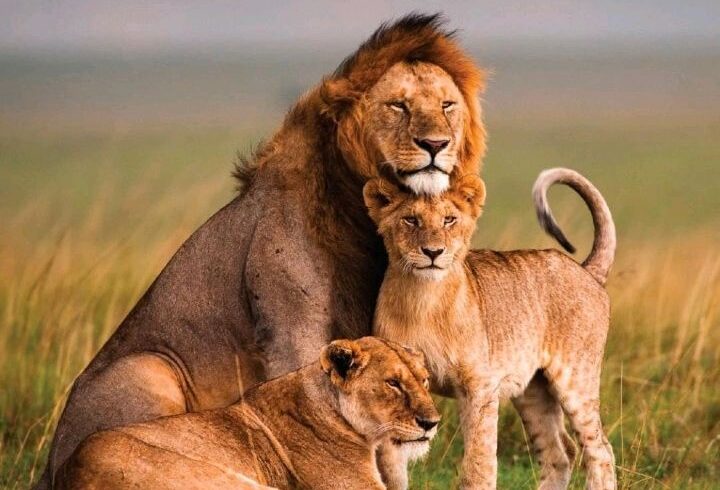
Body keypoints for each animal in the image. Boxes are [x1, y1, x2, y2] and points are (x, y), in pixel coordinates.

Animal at [364, 168, 617, 490]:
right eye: (410, 219)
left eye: (449, 219)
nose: (433, 252)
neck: (422, 299)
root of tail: (586, 269)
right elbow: (391, 467)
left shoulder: (480, 387)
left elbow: (479, 462)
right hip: (533, 391)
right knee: (560, 454)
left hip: (576, 379)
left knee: (600, 451)